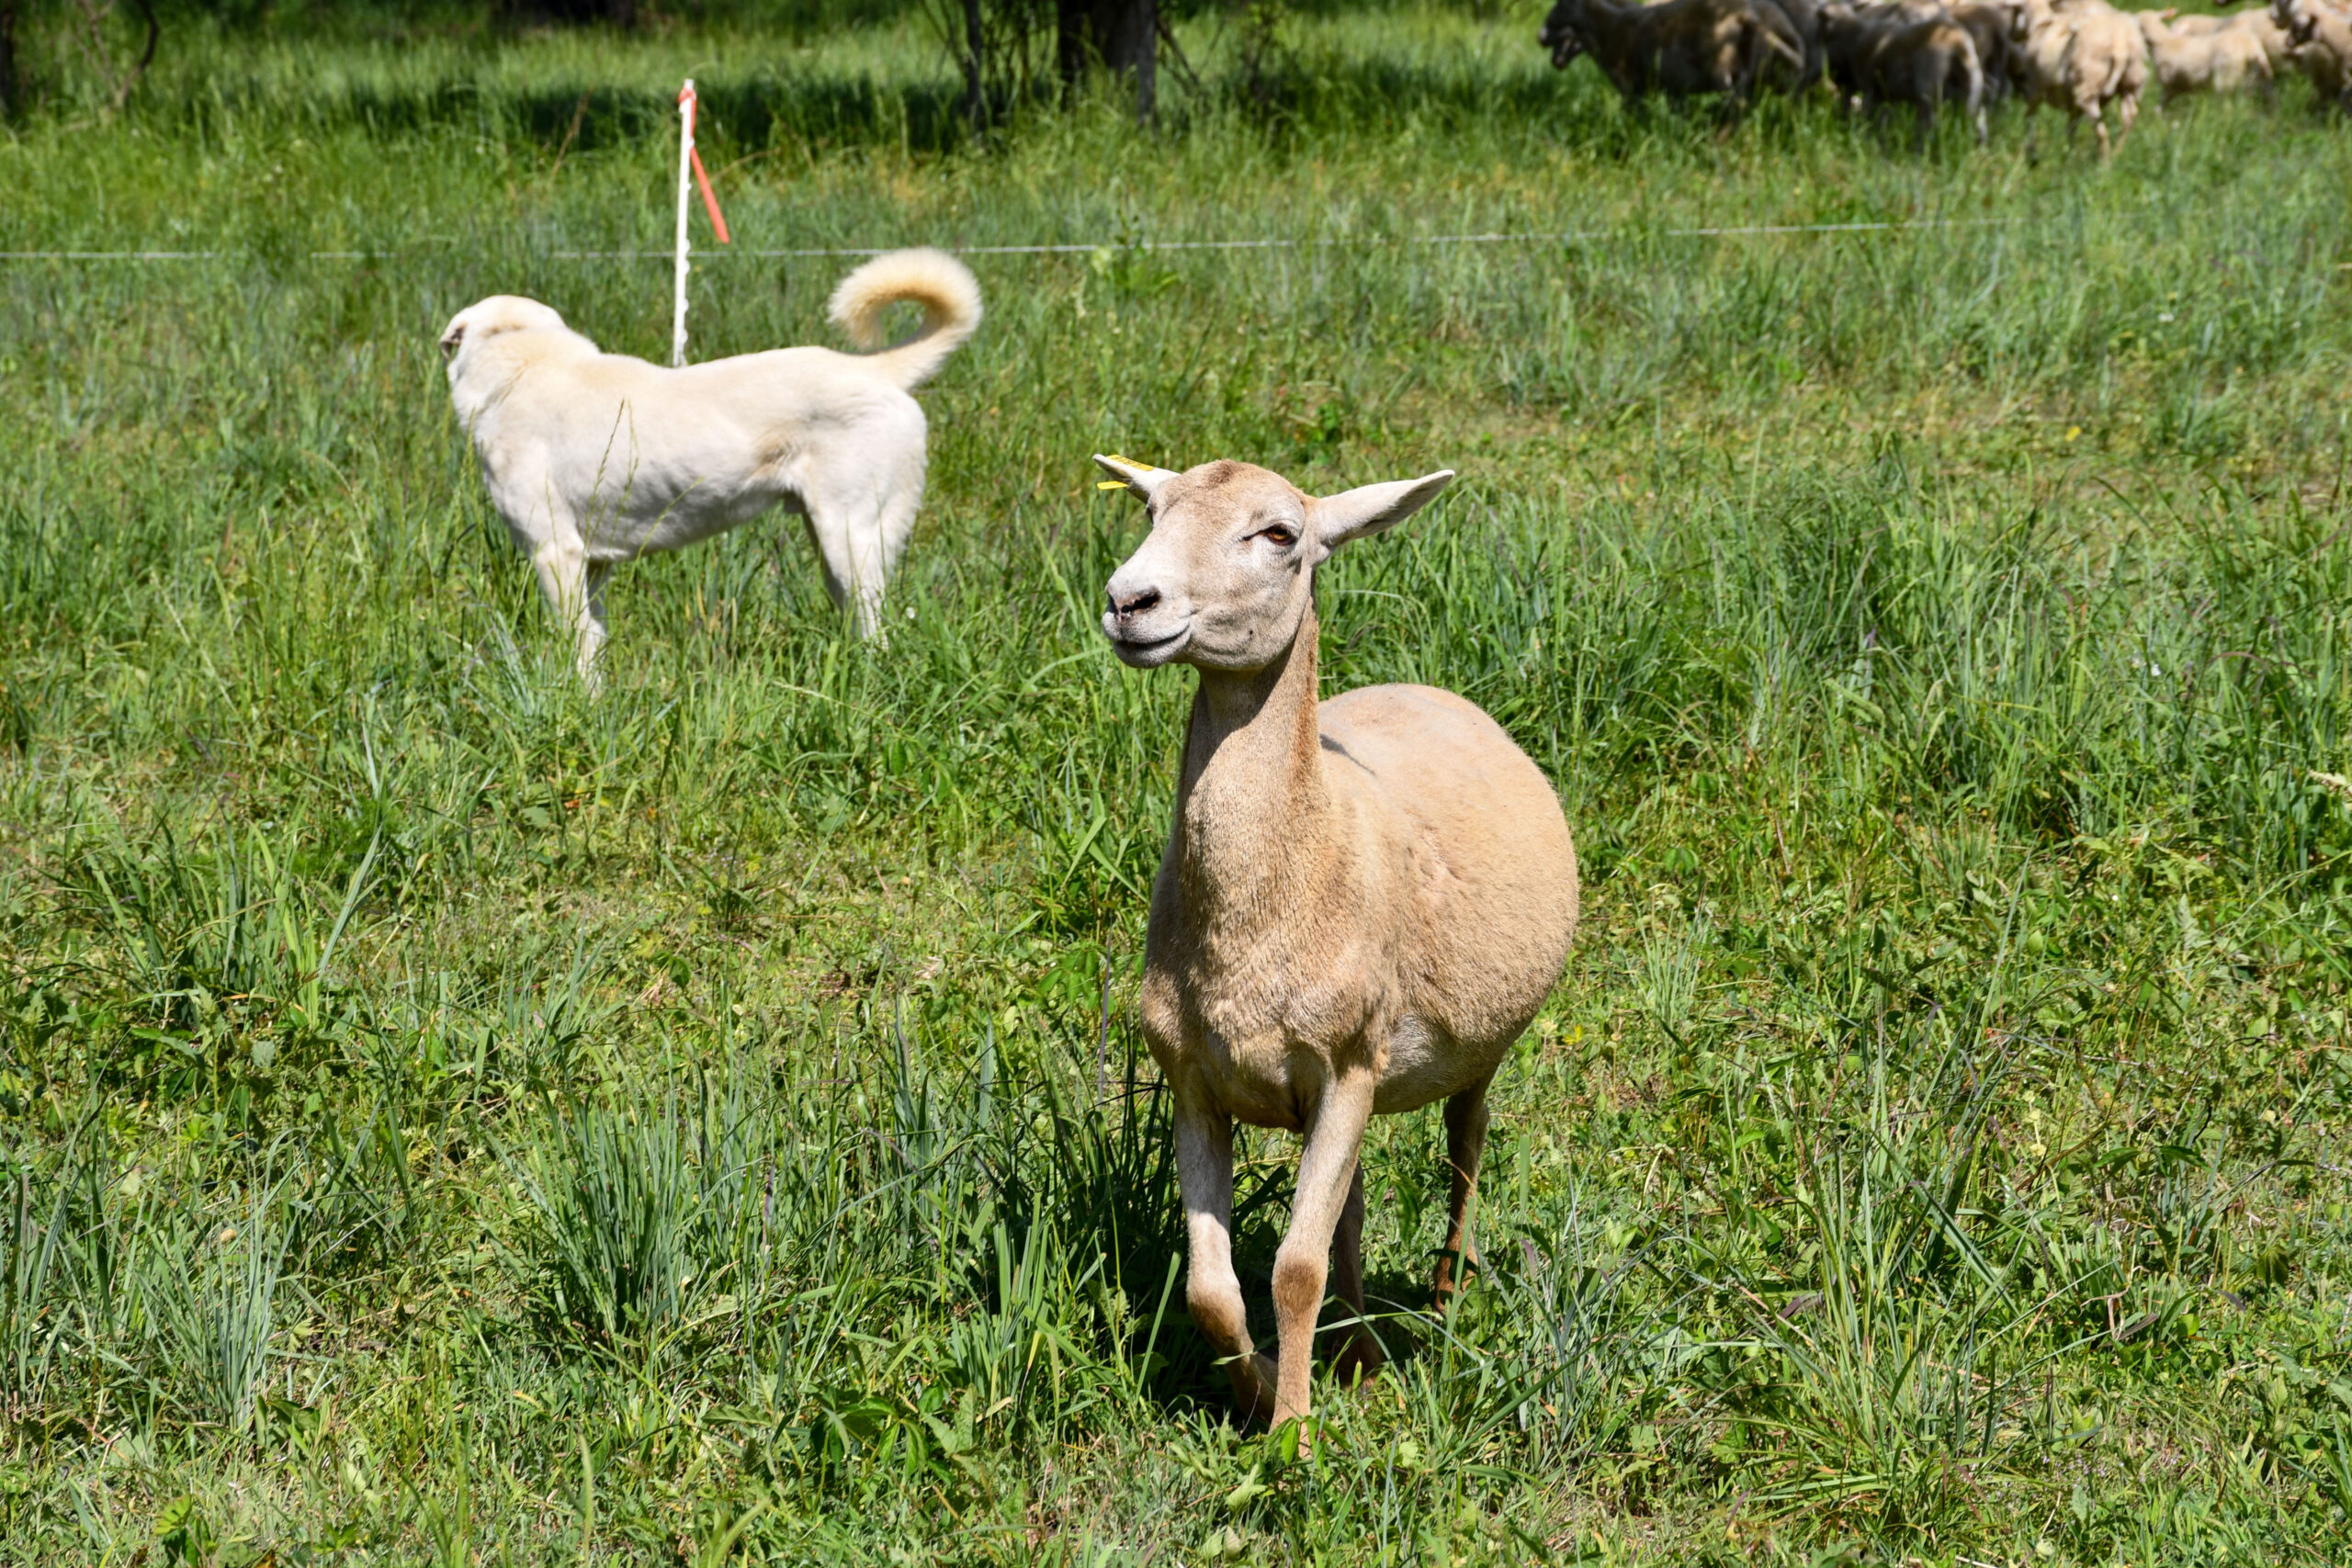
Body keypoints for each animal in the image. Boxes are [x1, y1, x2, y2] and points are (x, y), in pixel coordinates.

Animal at [1092, 454, 1579, 1437]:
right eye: (1152, 510)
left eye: (1279, 533)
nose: (1130, 599)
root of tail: (1430, 689)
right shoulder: (1194, 1079)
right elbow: (1213, 1289)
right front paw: (1261, 1388)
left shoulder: (1348, 1064)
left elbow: (1293, 1268)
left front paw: (1291, 1437)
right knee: (1348, 1209)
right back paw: (1354, 1351)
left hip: (1462, 1051)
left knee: (1466, 1145)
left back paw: (1441, 1299)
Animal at [1539, 0, 1808, 104]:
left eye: (1560, 5)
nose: (1539, 36)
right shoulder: (1672, 89)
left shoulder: (1630, 86)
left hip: (1722, 71)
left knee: (1735, 105)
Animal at [2006, 0, 2149, 158]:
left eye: (2016, 11)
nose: (2010, 33)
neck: (2040, 24)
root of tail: (2119, 46)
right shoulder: (2073, 106)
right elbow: (2071, 128)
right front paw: (2070, 153)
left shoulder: (2034, 90)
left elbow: (2029, 118)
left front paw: (2031, 151)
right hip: (2130, 82)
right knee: (2129, 116)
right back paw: (2117, 153)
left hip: (2088, 88)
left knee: (2101, 130)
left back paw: (2104, 162)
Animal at [2135, 9, 2273, 104]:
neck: (2164, 41)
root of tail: (2251, 48)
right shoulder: (2180, 85)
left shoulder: (2169, 82)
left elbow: (2161, 107)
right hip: (2251, 80)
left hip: (2226, 78)